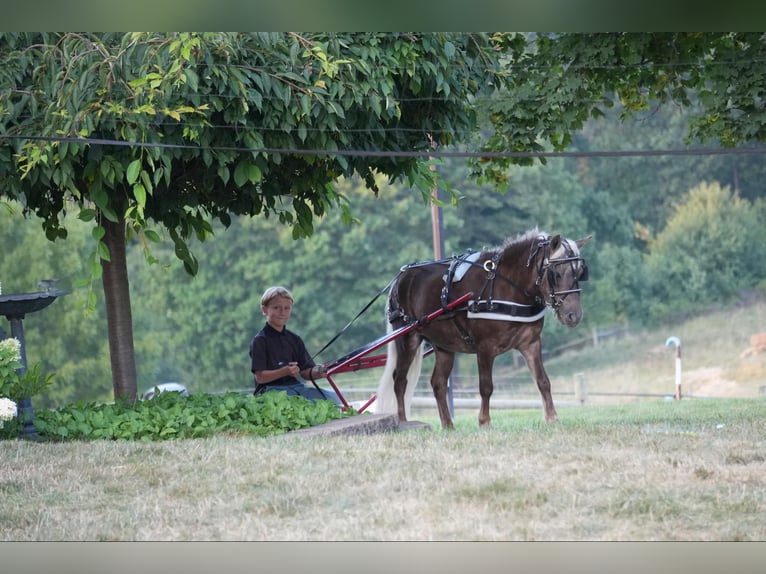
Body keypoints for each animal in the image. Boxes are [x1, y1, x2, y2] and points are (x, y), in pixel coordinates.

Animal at [372, 232, 592, 430]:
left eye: (580, 272)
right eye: (556, 272)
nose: (574, 315)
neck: (509, 286)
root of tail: (402, 276)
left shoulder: (531, 343)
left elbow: (543, 381)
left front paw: (552, 419)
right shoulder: (485, 347)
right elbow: (486, 386)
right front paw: (484, 422)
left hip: (444, 346)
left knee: (438, 383)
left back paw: (448, 424)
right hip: (407, 338)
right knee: (400, 380)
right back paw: (404, 422)